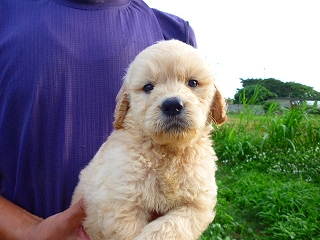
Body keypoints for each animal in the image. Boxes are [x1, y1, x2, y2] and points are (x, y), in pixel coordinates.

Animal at [72, 39, 228, 240]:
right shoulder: (120, 203)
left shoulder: (197, 204)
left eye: (192, 83)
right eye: (148, 87)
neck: (168, 152)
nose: (172, 105)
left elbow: (171, 226)